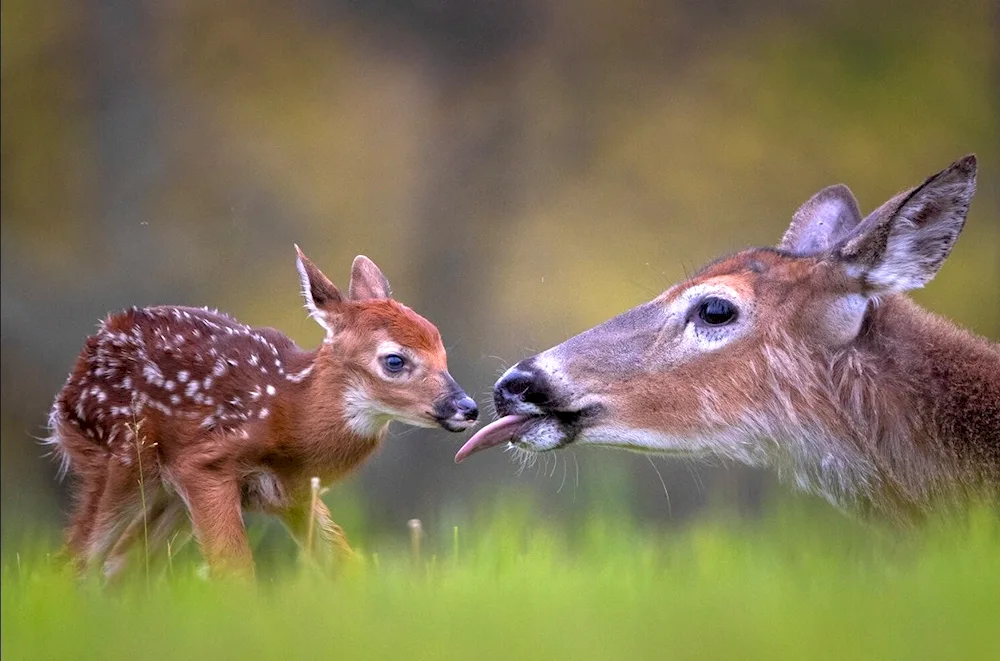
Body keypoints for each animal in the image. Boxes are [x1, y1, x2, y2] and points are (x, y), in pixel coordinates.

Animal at [48, 245, 478, 576]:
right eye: (394, 360)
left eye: (441, 349)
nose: (468, 407)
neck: (291, 415)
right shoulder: (204, 464)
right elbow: (235, 571)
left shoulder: (296, 494)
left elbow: (346, 564)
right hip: (119, 458)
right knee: (77, 558)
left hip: (165, 498)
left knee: (118, 563)